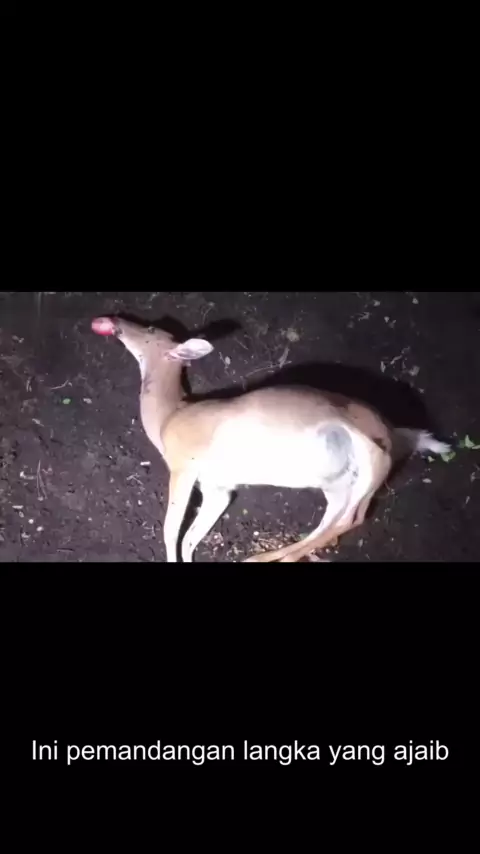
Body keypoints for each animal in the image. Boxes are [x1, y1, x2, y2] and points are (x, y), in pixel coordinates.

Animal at [91, 315, 450, 563]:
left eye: (152, 330)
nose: (116, 321)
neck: (170, 416)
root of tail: (394, 432)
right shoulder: (218, 486)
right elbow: (192, 536)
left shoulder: (184, 464)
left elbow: (170, 529)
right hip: (339, 479)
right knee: (344, 518)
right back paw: (267, 556)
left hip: (362, 448)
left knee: (349, 516)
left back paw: (270, 557)